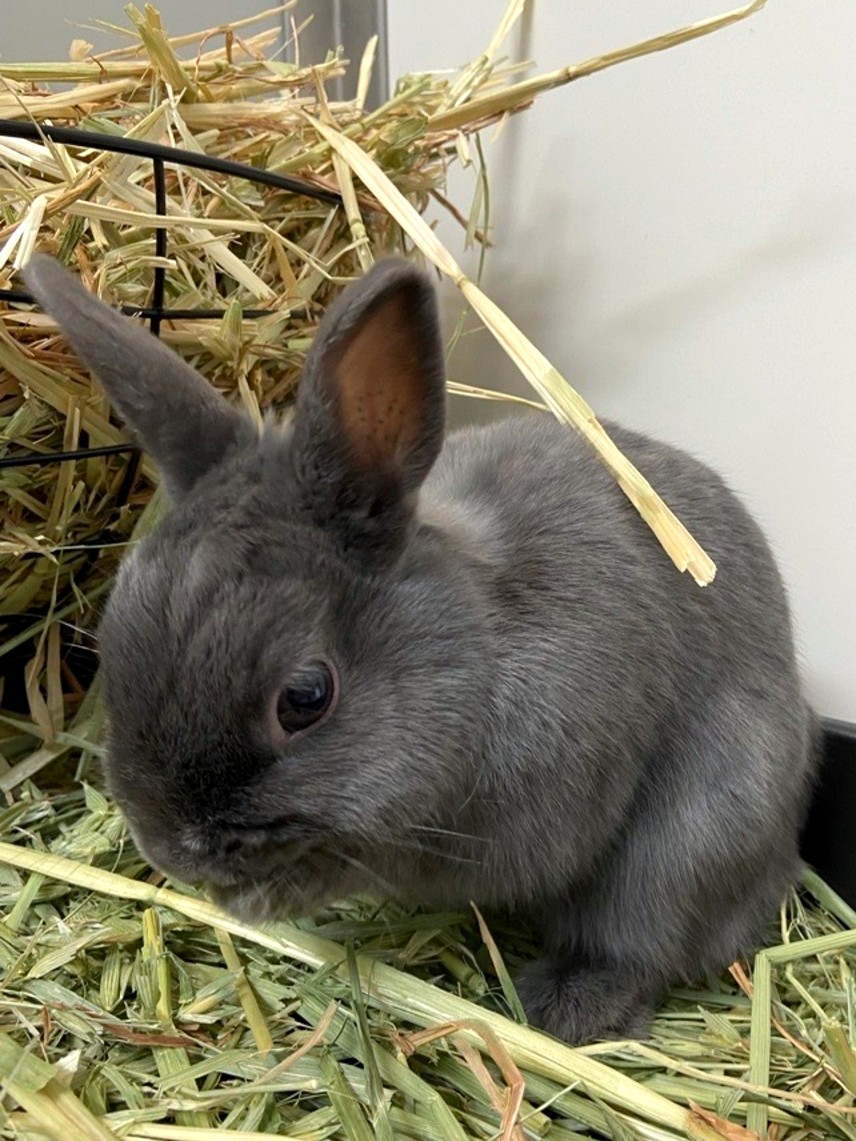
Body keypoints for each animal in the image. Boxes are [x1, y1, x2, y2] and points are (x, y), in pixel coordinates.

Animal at [23, 253, 818, 1044]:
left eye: (305, 698)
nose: (175, 851)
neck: (479, 646)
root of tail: (783, 857)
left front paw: (257, 899)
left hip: (689, 842)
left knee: (643, 940)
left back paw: (568, 1008)